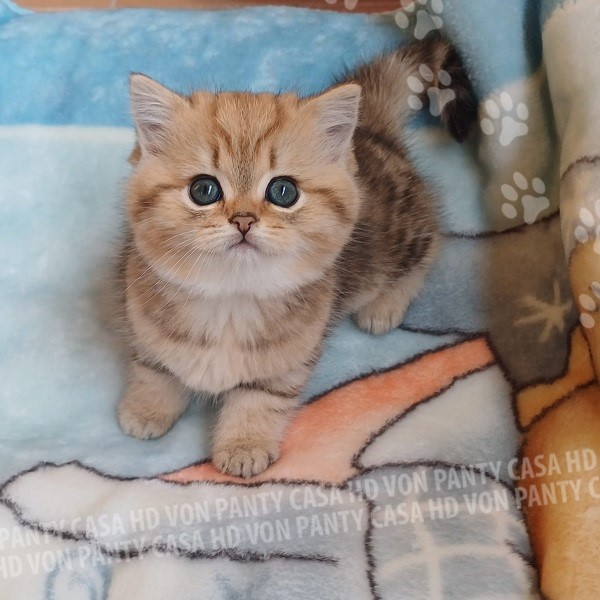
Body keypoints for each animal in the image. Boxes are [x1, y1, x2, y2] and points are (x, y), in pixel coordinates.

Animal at [117, 35, 477, 478]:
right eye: (204, 190)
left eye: (283, 192)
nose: (243, 220)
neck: (230, 300)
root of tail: (370, 131)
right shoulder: (141, 320)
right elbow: (155, 370)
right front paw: (145, 410)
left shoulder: (289, 360)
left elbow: (259, 399)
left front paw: (244, 445)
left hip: (398, 239)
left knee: (432, 242)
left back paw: (385, 307)